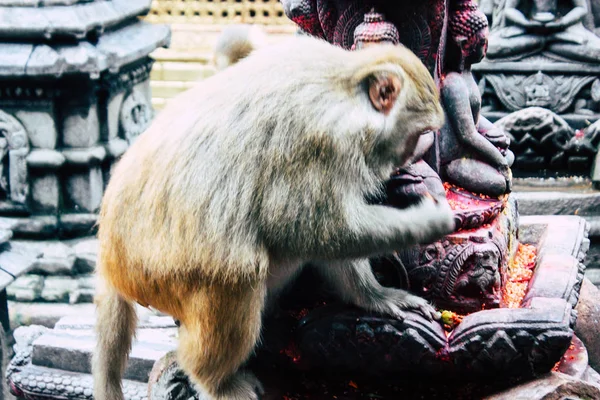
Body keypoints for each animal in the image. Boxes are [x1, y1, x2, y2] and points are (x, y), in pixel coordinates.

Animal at [91, 35, 452, 400]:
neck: (348, 92)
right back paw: (214, 380)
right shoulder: (321, 143)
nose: (409, 156)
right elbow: (317, 231)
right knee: (237, 272)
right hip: (159, 272)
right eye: (418, 133)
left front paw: (374, 297)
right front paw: (427, 222)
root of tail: (109, 258)